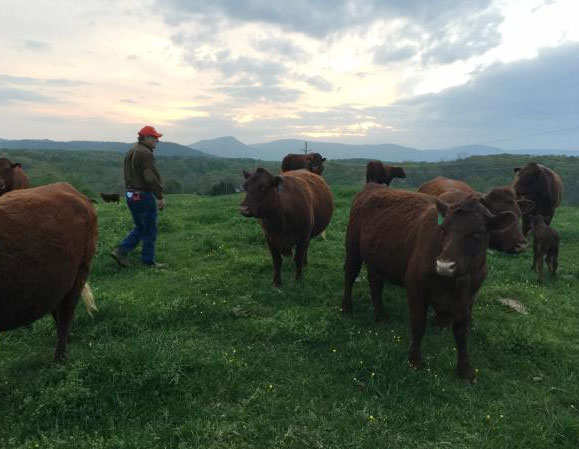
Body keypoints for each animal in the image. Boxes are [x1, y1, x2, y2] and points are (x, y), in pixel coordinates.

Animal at [0, 182, 98, 360]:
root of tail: (65, 186)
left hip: (80, 272)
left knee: (66, 313)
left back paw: (60, 358)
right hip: (56, 280)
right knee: (57, 309)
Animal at [342, 184, 516, 380]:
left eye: (477, 232)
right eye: (443, 229)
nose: (444, 265)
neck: (454, 284)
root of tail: (372, 186)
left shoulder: (467, 298)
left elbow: (462, 332)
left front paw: (465, 370)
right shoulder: (415, 288)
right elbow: (418, 325)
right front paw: (414, 361)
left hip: (377, 258)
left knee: (375, 284)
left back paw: (381, 316)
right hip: (353, 247)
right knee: (350, 275)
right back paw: (346, 307)